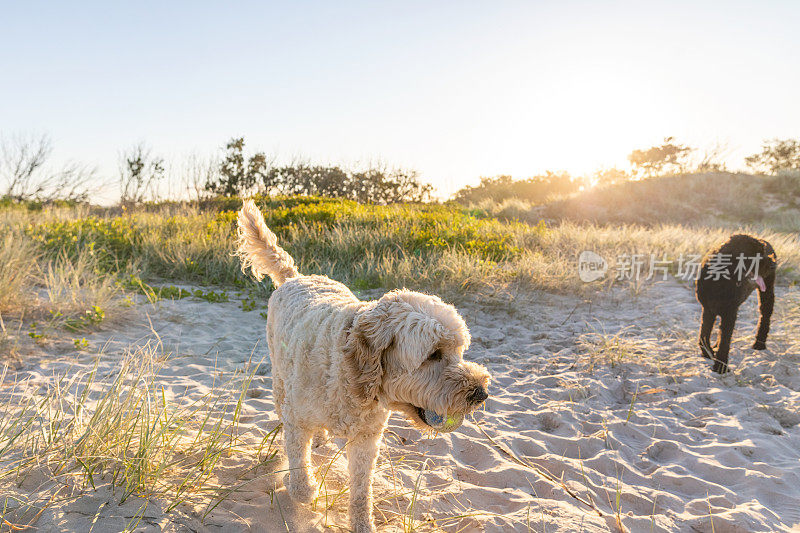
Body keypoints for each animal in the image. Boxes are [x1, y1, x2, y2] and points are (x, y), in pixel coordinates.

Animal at [234, 201, 490, 532]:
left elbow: (360, 492)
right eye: (434, 354)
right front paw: (303, 489)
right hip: (279, 377)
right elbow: (300, 476)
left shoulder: (367, 440)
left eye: (460, 351)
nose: (481, 393)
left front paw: (362, 522)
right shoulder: (296, 421)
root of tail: (295, 276)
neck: (351, 373)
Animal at [692, 235, 776, 372]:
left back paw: (759, 344)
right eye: (756, 254)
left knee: (765, 316)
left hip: (767, 292)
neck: (720, 280)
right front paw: (708, 353)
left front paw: (720, 366)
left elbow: (725, 340)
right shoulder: (708, 309)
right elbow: (704, 334)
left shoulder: (729, 312)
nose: (774, 264)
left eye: (763, 252)